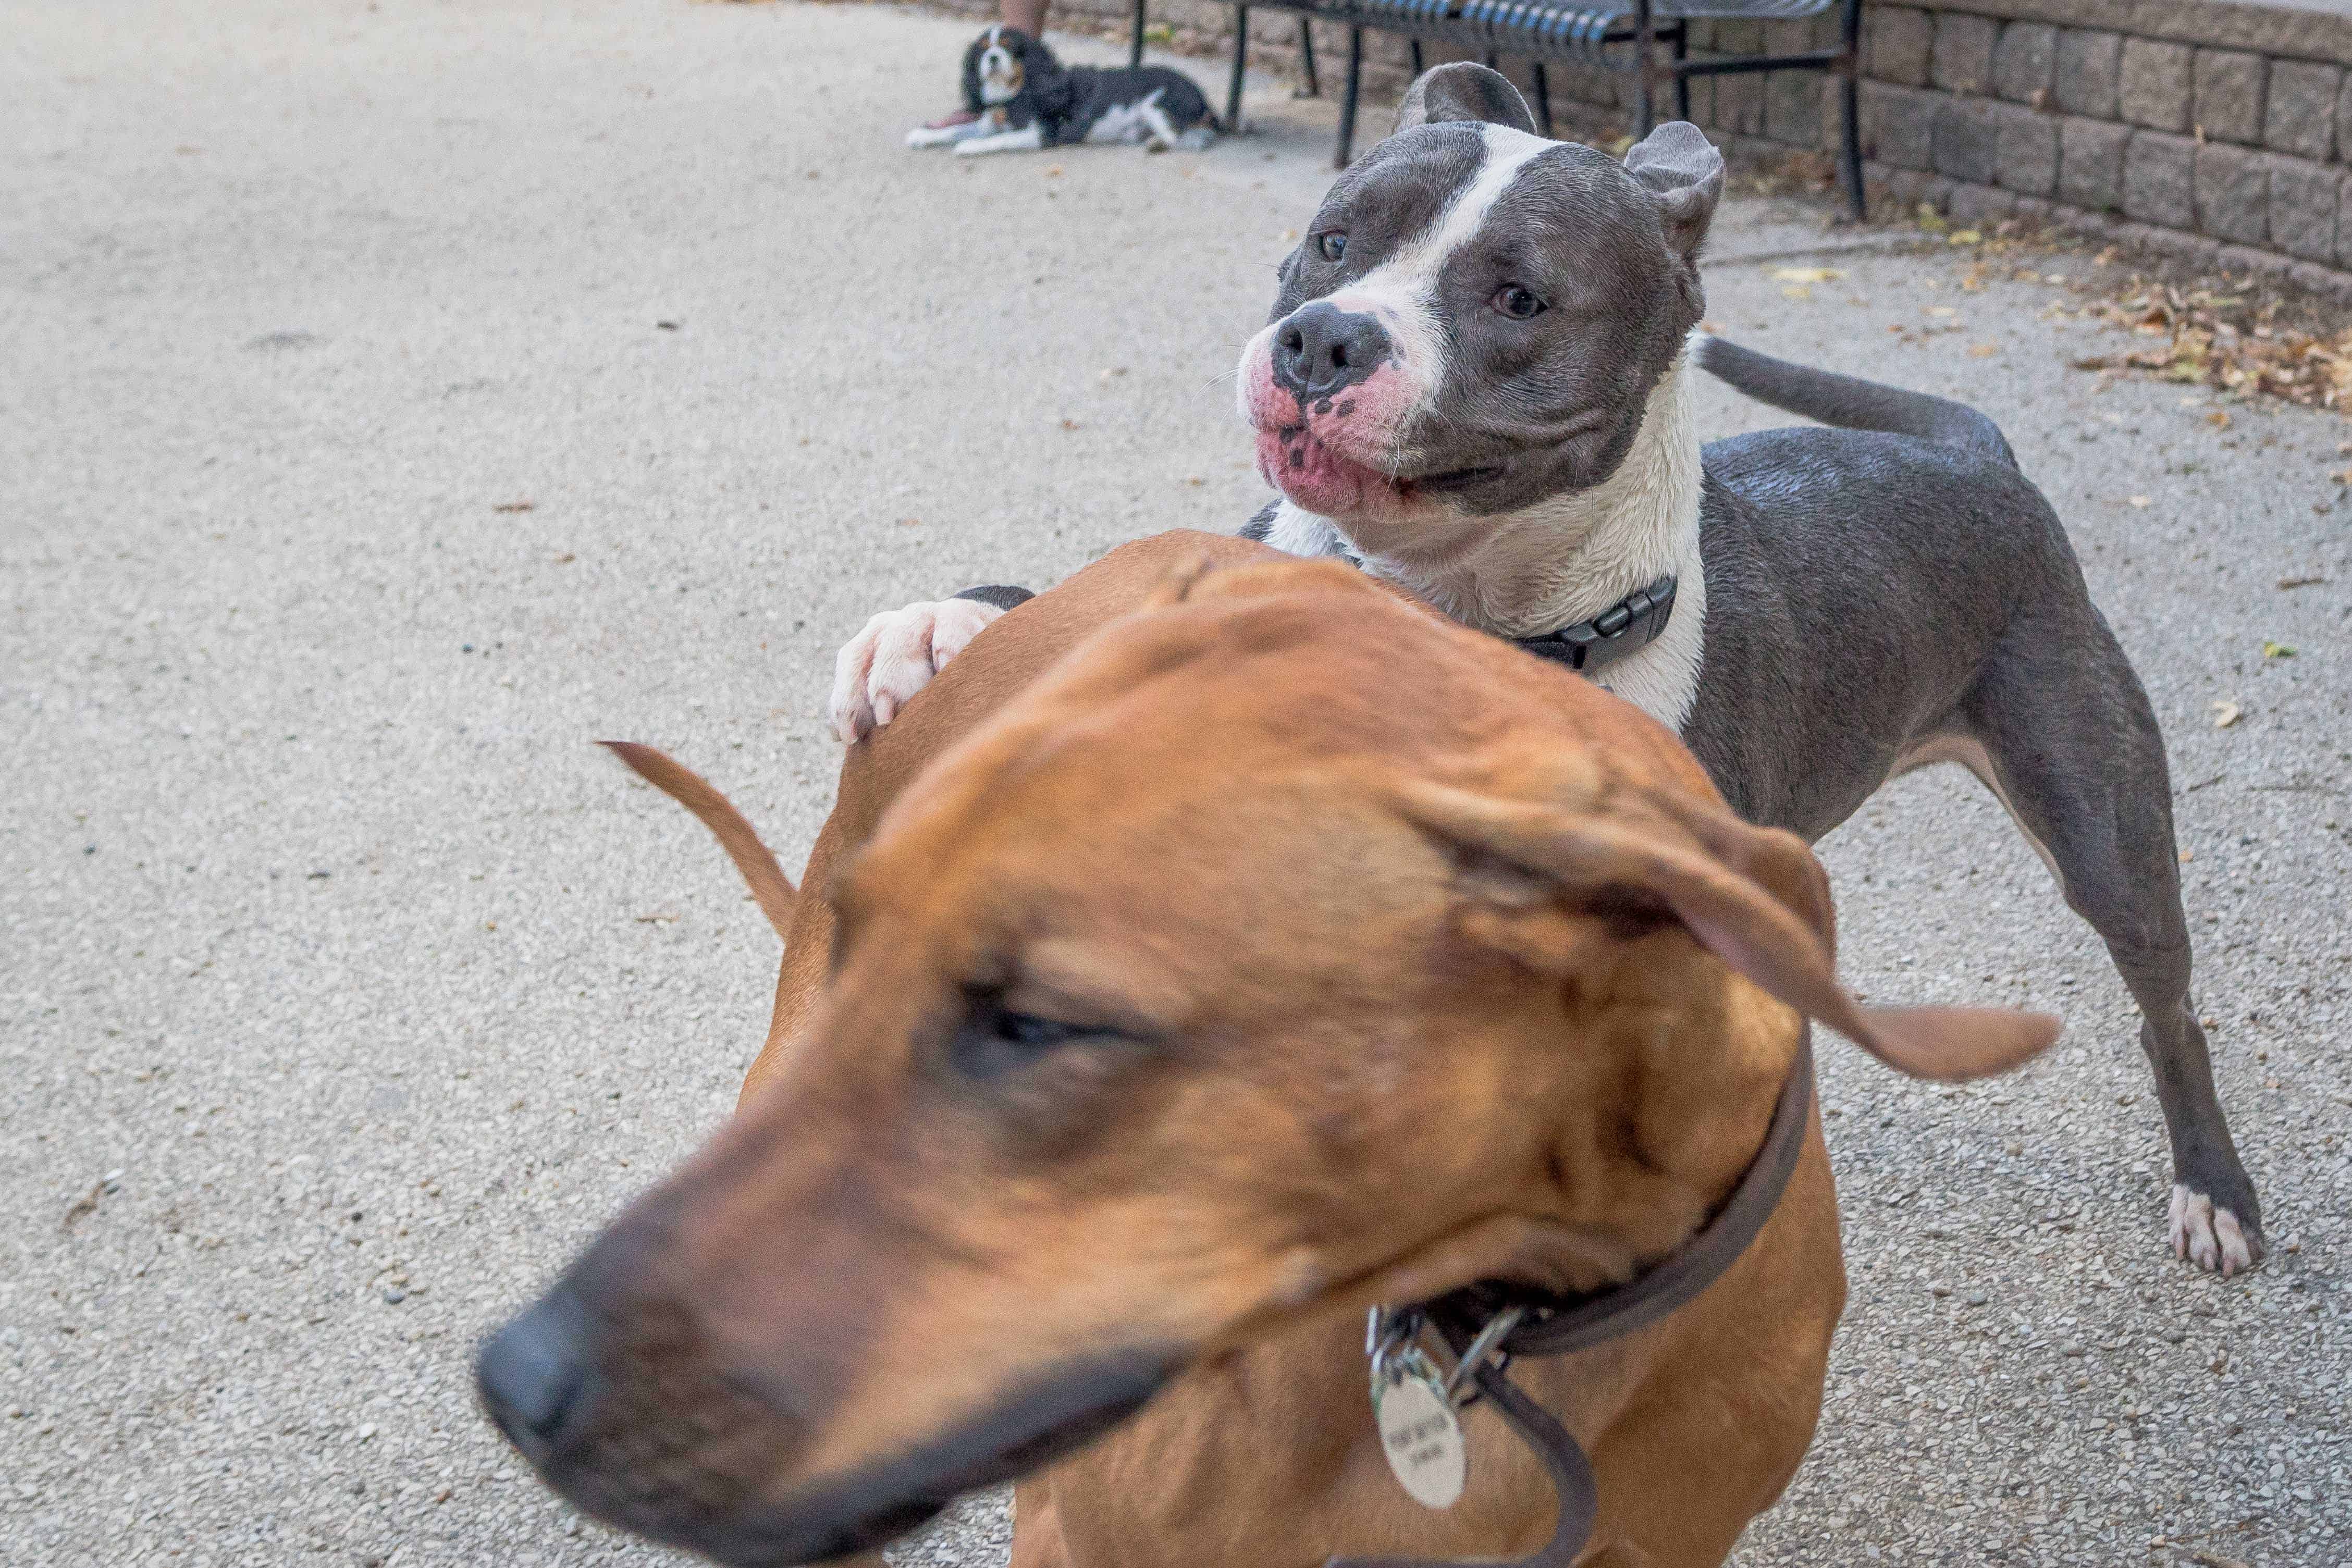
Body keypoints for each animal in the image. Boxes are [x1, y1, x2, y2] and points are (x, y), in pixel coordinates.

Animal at [837, 67, 2267, 1279]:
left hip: (2100, 817)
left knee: (2168, 1006)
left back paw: (2215, 1191)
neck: (1455, 605)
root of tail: (1978, 454)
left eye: (1519, 298)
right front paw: (931, 631)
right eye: (1333, 240)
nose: (1320, 340)